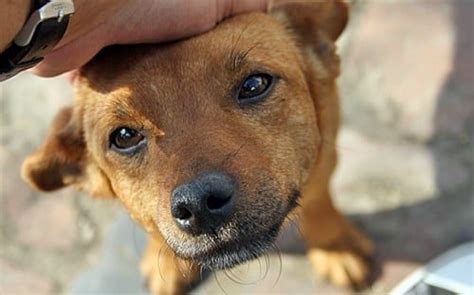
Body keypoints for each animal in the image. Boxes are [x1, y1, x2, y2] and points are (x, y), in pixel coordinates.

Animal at [21, 1, 374, 294]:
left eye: (254, 85)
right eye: (124, 136)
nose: (200, 203)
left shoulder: (326, 146)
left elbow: (316, 196)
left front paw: (335, 246)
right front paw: (168, 262)